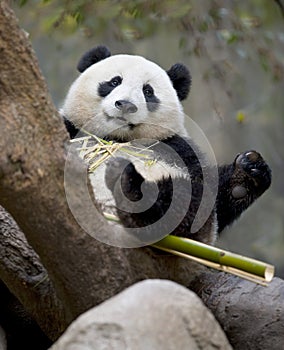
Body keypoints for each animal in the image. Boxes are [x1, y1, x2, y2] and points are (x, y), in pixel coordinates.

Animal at [61, 45, 272, 247]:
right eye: (114, 81)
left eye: (148, 91)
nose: (126, 105)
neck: (118, 138)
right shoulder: (71, 128)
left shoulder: (178, 149)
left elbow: (212, 195)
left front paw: (248, 171)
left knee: (182, 201)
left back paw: (132, 187)